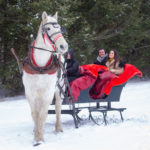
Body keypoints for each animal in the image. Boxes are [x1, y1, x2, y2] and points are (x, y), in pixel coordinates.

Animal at [22, 11, 68, 145]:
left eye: (60, 28)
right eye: (48, 29)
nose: (63, 46)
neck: (40, 67)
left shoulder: (48, 93)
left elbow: (43, 115)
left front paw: (40, 139)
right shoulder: (30, 93)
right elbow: (35, 114)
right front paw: (36, 135)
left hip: (60, 89)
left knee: (58, 108)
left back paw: (58, 128)